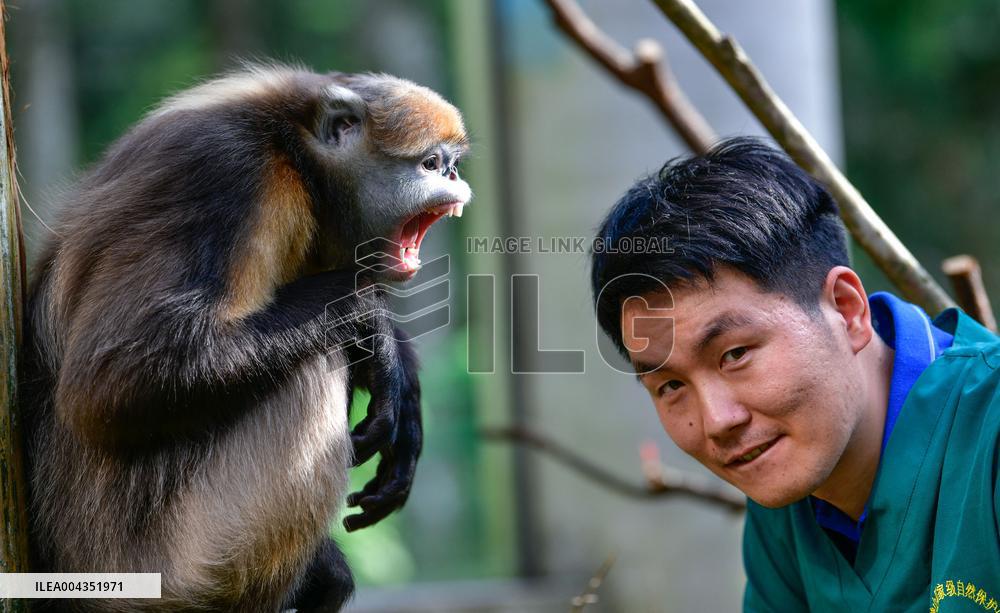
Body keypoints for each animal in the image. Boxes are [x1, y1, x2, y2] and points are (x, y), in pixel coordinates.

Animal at [18, 63, 471, 612]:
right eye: (431, 164)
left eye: (450, 165)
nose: (454, 178)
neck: (293, 152)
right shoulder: (228, 173)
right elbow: (101, 389)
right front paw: (371, 322)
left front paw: (400, 377)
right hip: (160, 565)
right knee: (314, 363)